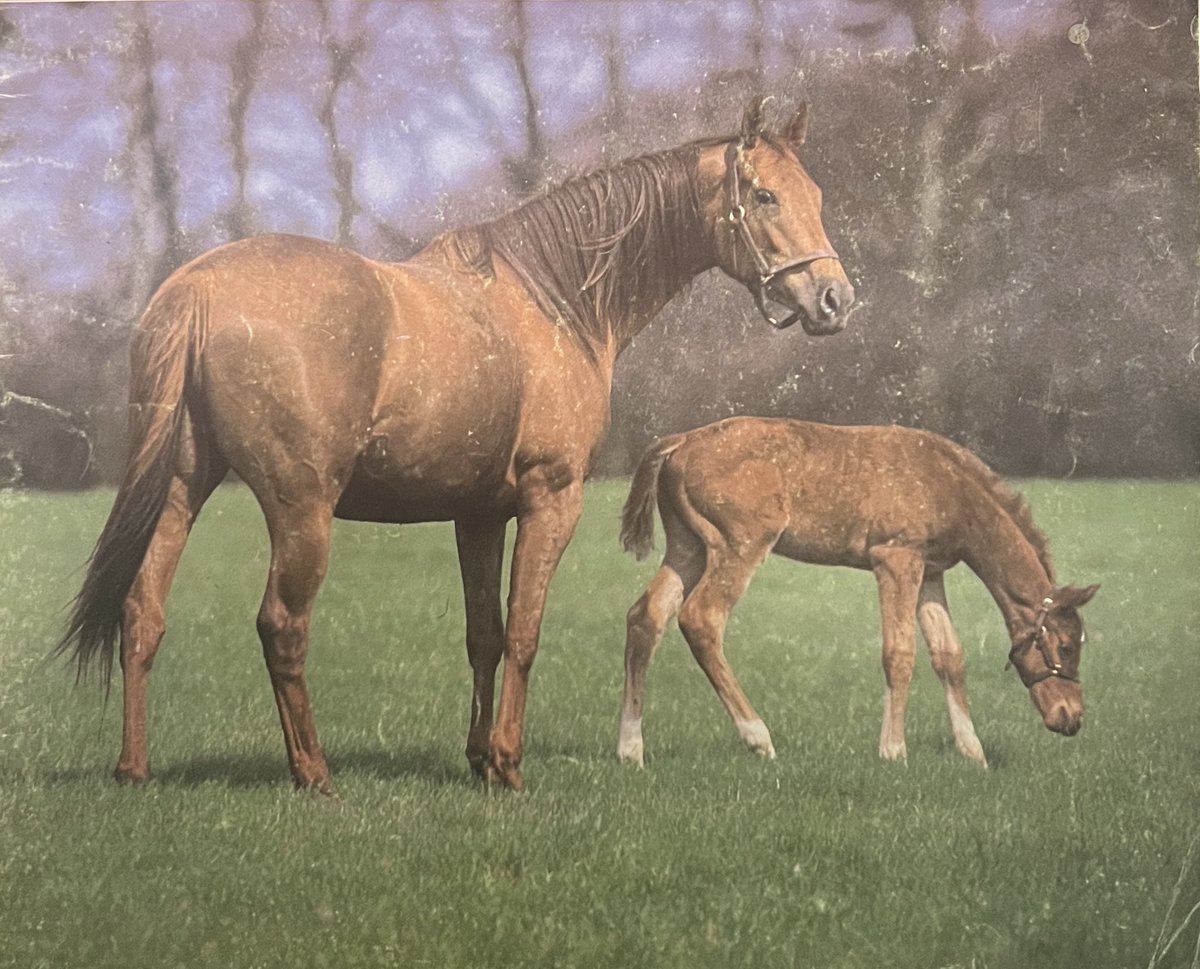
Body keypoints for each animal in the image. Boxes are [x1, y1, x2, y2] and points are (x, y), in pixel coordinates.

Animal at [619, 417, 1099, 762]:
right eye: (1066, 646)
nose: (1072, 718)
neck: (949, 487)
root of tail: (679, 442)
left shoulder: (930, 572)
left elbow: (949, 655)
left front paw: (973, 752)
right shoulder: (896, 559)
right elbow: (899, 653)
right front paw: (893, 750)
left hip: (687, 548)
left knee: (646, 617)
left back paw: (631, 750)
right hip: (739, 545)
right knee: (701, 618)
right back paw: (758, 738)